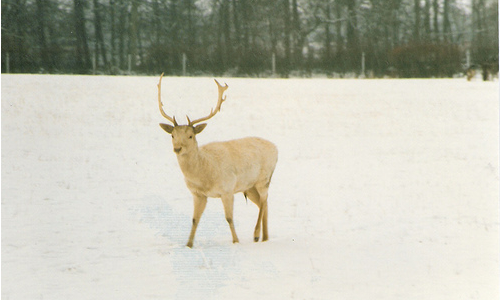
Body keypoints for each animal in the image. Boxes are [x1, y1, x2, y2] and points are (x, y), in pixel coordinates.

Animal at [157, 74, 278, 247]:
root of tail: (276, 148)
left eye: (191, 136)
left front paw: (236, 241)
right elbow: (194, 220)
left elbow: (229, 218)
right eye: (172, 135)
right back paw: (265, 237)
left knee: (264, 200)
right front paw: (189, 244)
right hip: (249, 186)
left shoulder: (227, 190)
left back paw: (256, 234)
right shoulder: (198, 194)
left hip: (264, 179)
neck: (204, 175)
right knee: (265, 204)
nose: (177, 148)